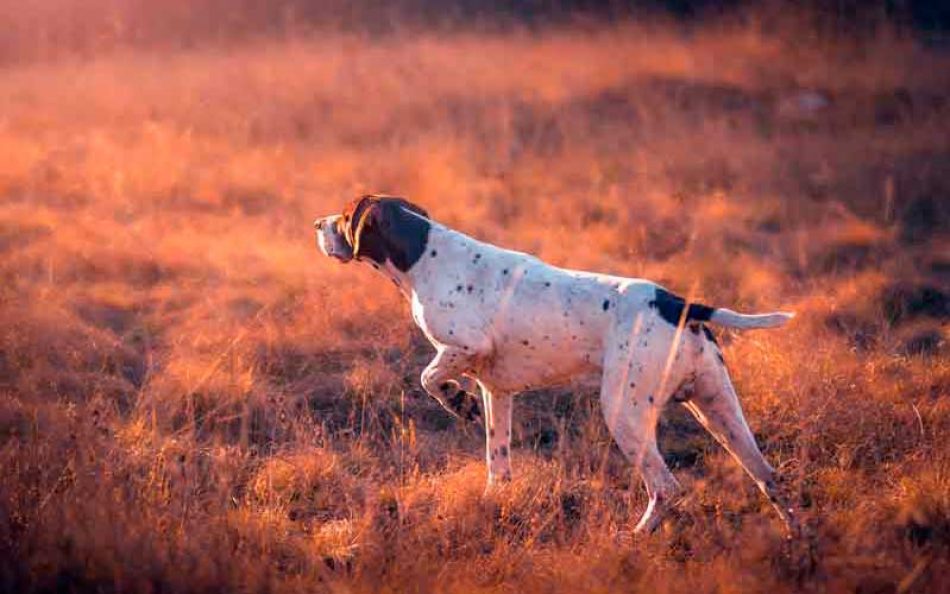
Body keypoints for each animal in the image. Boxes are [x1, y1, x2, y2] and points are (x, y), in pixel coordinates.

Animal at [316, 195, 800, 536]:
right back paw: (799, 542)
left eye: (345, 215)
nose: (317, 224)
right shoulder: (497, 391)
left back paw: (635, 536)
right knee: (770, 478)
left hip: (624, 413)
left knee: (666, 487)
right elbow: (498, 461)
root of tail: (678, 303)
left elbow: (428, 377)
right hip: (719, 410)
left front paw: (457, 401)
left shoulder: (465, 345)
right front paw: (495, 501)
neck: (424, 254)